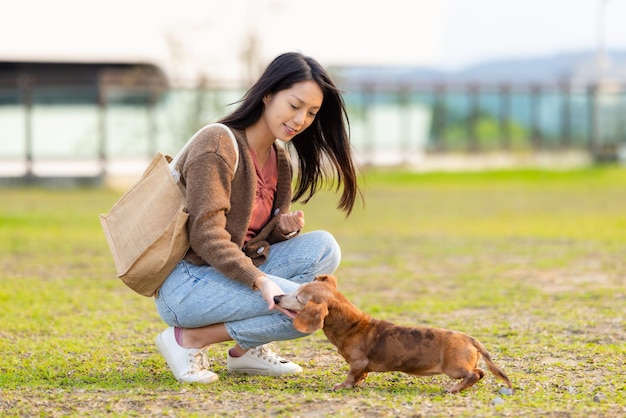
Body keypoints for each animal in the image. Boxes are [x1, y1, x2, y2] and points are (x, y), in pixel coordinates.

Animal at [272, 272, 512, 394]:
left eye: (298, 298)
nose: (275, 297)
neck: (353, 326)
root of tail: (470, 338)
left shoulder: (357, 362)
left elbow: (351, 375)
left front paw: (343, 385)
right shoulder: (362, 366)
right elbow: (361, 375)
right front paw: (358, 382)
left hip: (453, 368)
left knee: (475, 374)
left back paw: (454, 388)